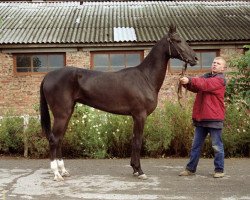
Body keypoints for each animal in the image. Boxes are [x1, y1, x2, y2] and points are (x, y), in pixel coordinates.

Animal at [40, 24, 198, 180]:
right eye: (178, 40)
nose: (195, 58)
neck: (145, 78)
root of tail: (48, 76)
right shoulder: (140, 116)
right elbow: (138, 142)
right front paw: (140, 171)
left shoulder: (136, 117)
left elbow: (134, 141)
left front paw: (134, 169)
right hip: (62, 114)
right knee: (54, 140)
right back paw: (56, 174)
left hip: (67, 113)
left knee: (59, 139)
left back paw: (63, 171)